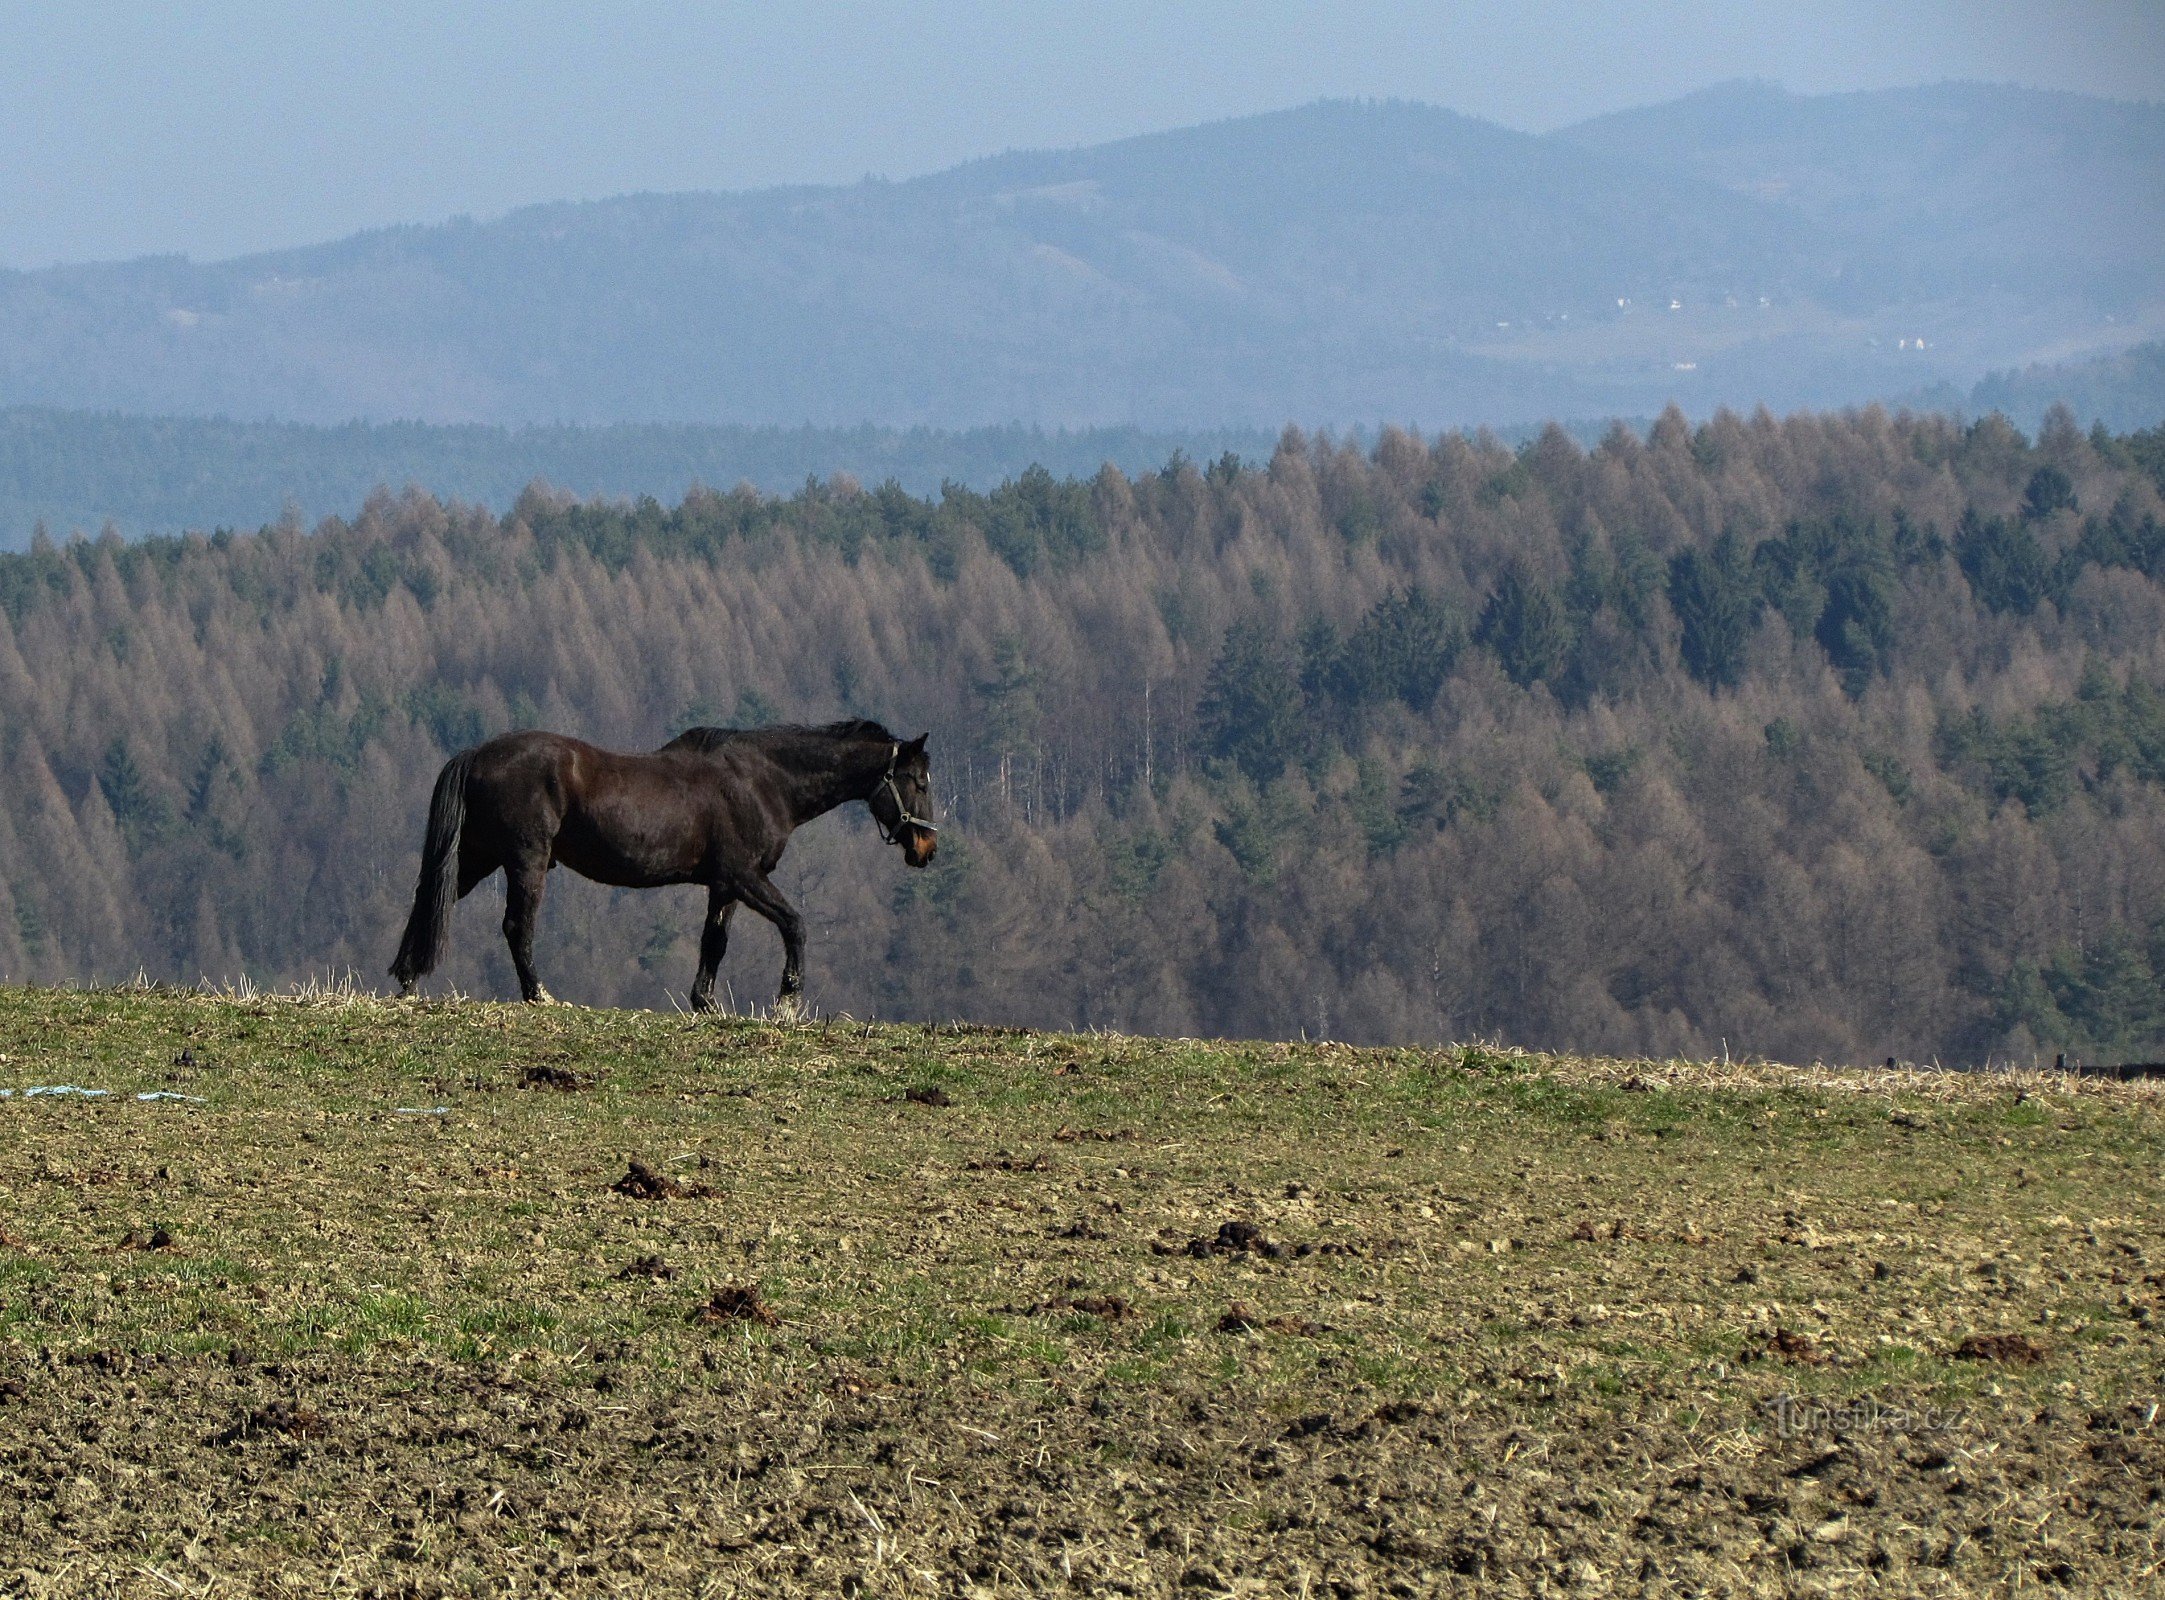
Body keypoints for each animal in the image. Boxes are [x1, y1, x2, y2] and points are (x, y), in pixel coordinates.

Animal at [394, 727, 935, 1013]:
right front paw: (787, 1000)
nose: (926, 847)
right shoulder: (745, 876)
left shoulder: (724, 886)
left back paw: (407, 980)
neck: (763, 782)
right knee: (515, 925)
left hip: (476, 858)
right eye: (918, 780)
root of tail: (477, 753)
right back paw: (538, 995)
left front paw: (705, 1004)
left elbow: (714, 944)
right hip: (524, 860)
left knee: (428, 900)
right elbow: (795, 924)